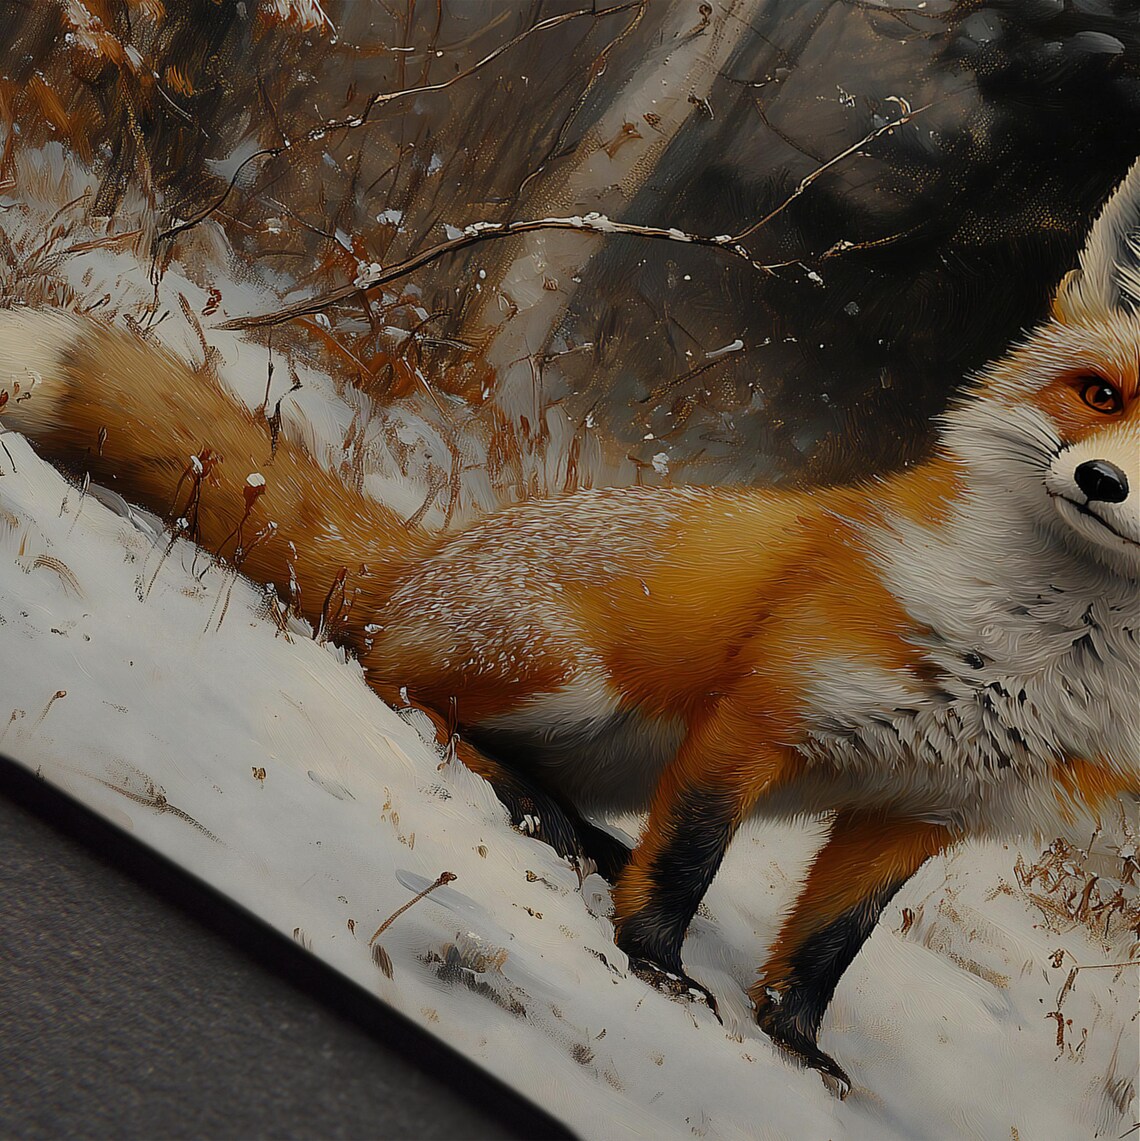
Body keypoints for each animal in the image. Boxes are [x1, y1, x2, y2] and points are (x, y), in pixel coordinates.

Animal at [1, 160, 1138, 1096]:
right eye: (1099, 395)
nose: (1103, 482)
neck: (1028, 650)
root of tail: (426, 557)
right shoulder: (758, 716)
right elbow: (686, 866)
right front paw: (654, 966)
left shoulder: (921, 810)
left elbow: (826, 950)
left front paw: (794, 1047)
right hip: (566, 679)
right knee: (386, 678)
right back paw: (526, 804)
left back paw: (577, 826)